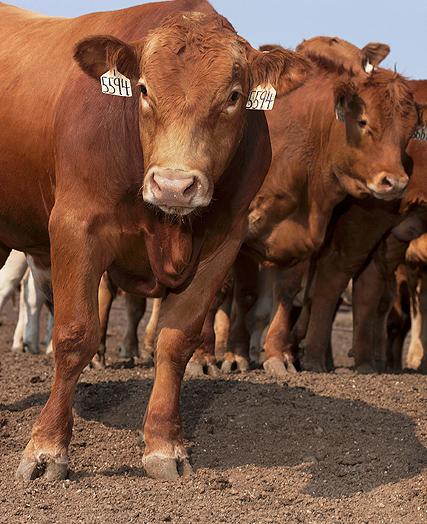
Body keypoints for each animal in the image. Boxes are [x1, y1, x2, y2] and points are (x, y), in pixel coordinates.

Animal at [0, 1, 314, 484]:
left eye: (233, 97)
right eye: (144, 90)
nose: (173, 185)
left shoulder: (223, 243)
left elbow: (176, 340)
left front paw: (164, 445)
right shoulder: (75, 226)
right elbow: (75, 335)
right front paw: (46, 449)